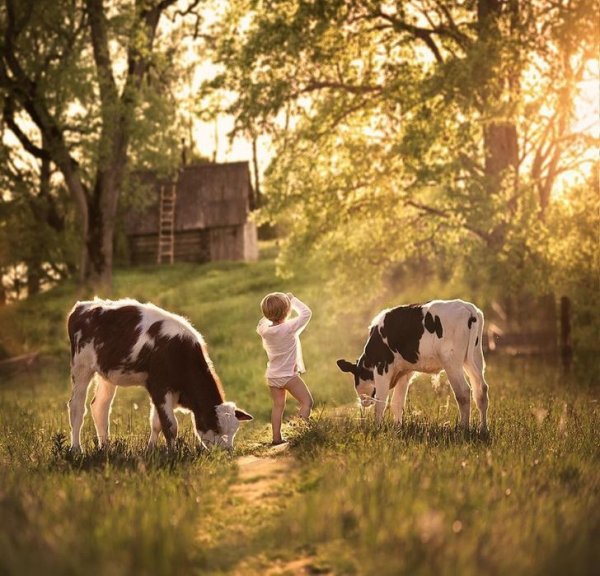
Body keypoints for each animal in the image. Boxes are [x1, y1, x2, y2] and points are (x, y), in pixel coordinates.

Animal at [67, 300, 252, 452]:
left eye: (234, 431)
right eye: (216, 427)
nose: (227, 452)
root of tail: (83, 306)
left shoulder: (162, 391)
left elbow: (156, 423)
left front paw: (151, 450)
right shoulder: (159, 387)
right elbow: (170, 425)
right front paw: (172, 454)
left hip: (107, 375)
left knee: (100, 407)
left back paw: (105, 447)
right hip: (81, 367)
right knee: (77, 407)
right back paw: (76, 449)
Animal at [338, 300, 488, 430]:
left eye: (358, 377)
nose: (364, 402)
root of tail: (468, 308)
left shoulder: (382, 367)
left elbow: (381, 402)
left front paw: (377, 428)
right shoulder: (405, 371)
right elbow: (397, 402)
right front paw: (397, 428)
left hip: (451, 362)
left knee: (463, 392)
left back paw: (463, 428)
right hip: (475, 358)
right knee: (481, 389)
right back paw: (483, 429)